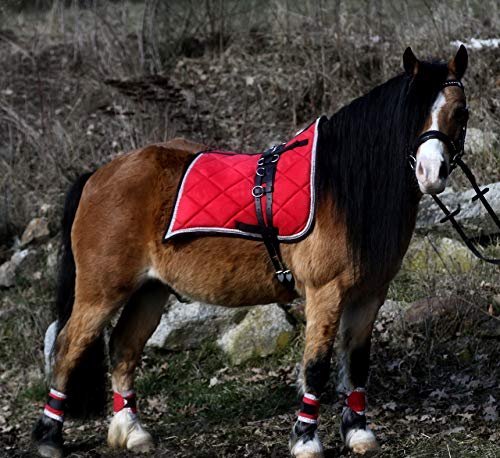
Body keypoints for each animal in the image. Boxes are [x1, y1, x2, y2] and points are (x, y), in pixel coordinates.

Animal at [31, 45, 468, 458]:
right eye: (411, 112)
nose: (431, 174)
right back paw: (50, 436)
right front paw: (306, 440)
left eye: (459, 112)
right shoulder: (325, 293)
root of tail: (99, 175)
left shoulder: (369, 295)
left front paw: (359, 433)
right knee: (67, 349)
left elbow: (357, 364)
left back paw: (132, 431)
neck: (342, 187)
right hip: (101, 292)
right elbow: (317, 366)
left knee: (123, 348)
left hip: (150, 291)